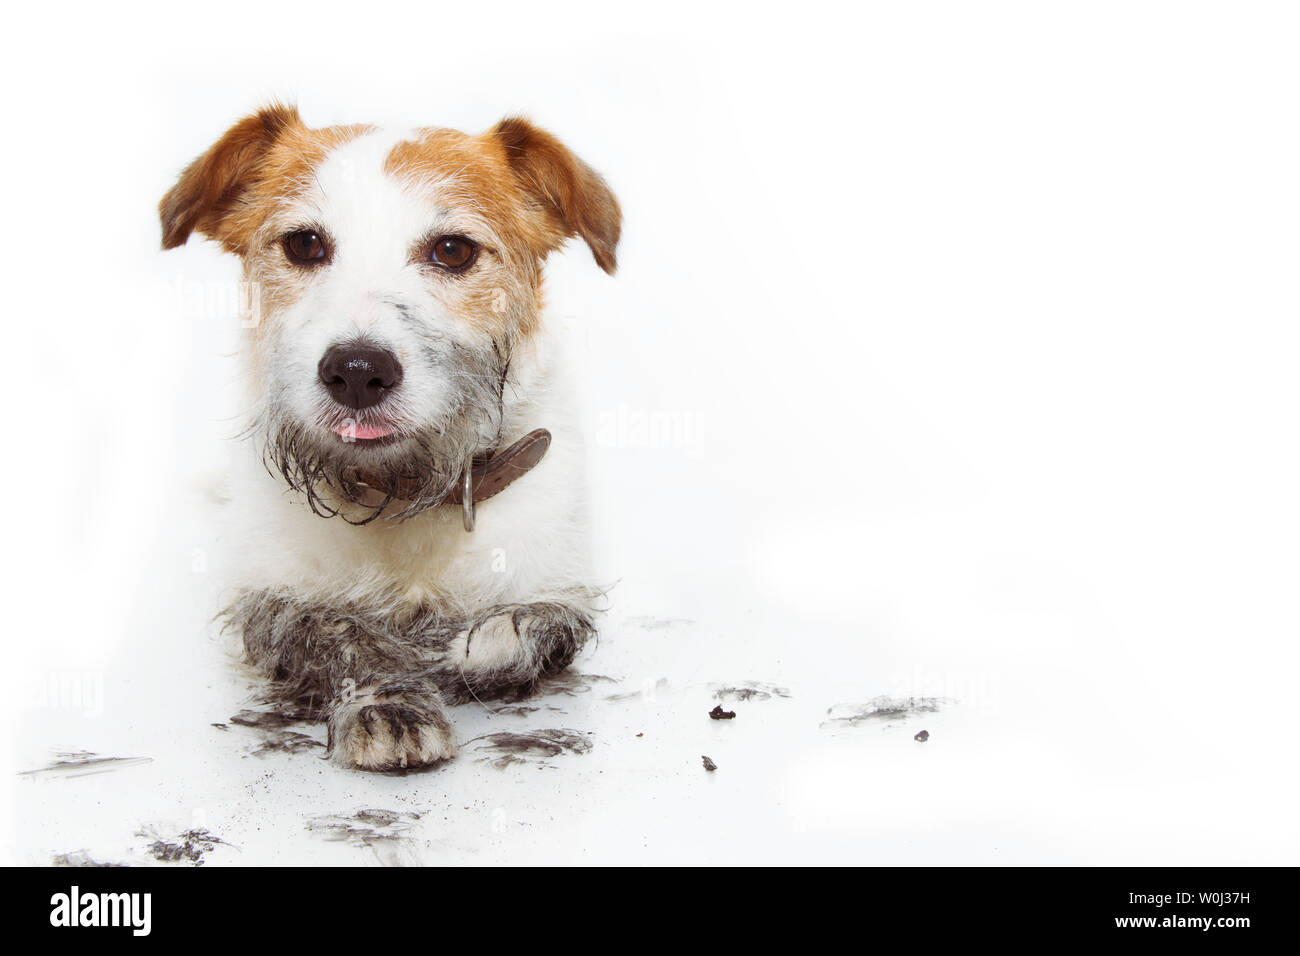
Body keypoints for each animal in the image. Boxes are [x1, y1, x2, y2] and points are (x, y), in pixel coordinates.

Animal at [161, 104, 618, 775]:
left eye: (452, 250)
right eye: (304, 244)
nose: (357, 371)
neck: (402, 493)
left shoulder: (561, 581)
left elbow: (533, 626)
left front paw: (475, 645)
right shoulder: (265, 597)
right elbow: (340, 633)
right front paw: (390, 703)